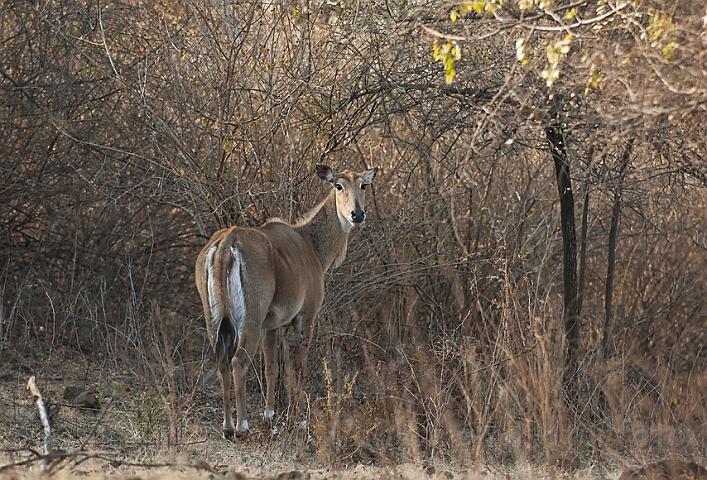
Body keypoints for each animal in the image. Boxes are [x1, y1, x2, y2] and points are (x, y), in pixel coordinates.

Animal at [196, 163, 378, 436]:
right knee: (238, 361)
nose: (357, 214)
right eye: (338, 185)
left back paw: (227, 425)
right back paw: (241, 426)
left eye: (363, 185)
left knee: (221, 360)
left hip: (214, 317)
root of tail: (226, 244)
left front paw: (270, 416)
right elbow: (297, 368)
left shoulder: (271, 325)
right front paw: (300, 420)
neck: (313, 247)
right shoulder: (305, 316)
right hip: (251, 314)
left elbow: (272, 367)